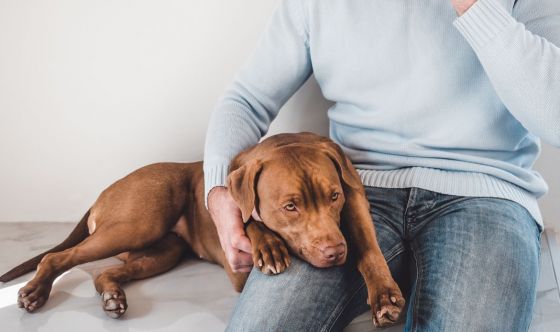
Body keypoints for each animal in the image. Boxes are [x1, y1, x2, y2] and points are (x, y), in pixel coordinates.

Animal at [0, 132, 402, 326]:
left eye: (334, 196)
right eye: (290, 207)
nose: (336, 252)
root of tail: (105, 191)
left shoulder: (354, 200)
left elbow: (368, 248)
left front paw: (384, 294)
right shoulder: (239, 267)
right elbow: (248, 219)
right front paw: (268, 245)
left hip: (163, 251)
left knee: (105, 273)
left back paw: (113, 295)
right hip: (138, 222)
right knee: (57, 256)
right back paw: (33, 292)